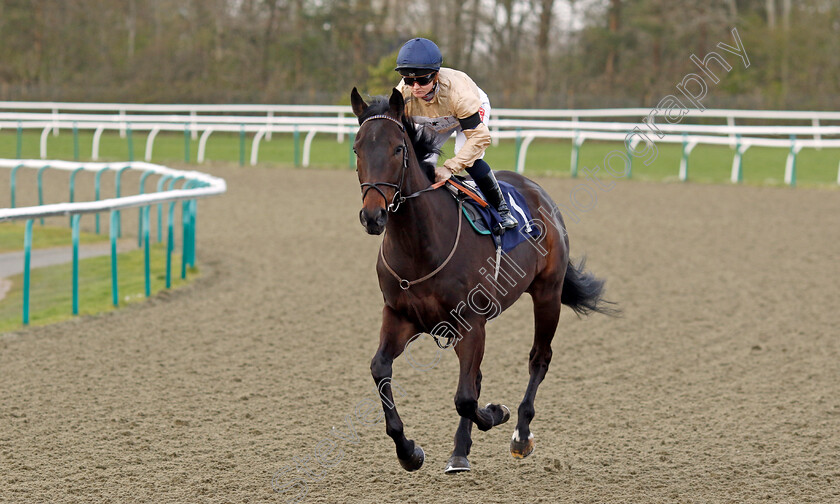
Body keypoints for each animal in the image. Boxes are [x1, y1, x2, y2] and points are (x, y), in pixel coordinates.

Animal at [352, 87, 612, 476]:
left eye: (397, 149)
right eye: (357, 149)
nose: (373, 215)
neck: (421, 245)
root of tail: (537, 191)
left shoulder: (470, 323)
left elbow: (465, 398)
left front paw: (496, 413)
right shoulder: (400, 316)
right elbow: (380, 369)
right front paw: (408, 451)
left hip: (547, 293)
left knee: (538, 359)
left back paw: (520, 434)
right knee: (475, 377)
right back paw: (461, 450)